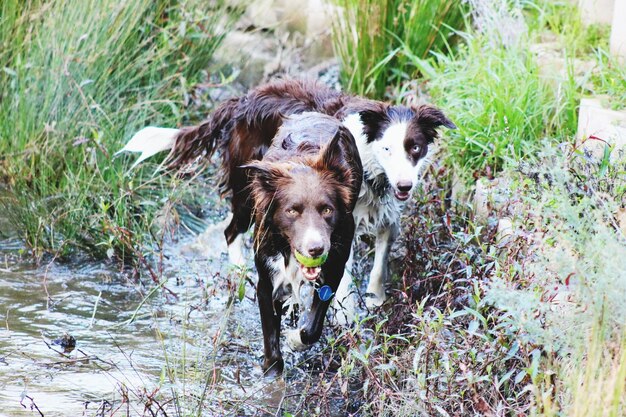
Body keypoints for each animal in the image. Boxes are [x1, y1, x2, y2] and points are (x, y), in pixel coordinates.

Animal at [117, 79, 454, 322]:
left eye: (414, 148)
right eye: (387, 149)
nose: (405, 185)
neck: (372, 170)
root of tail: (242, 101)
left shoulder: (385, 214)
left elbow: (380, 262)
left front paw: (375, 299)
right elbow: (342, 276)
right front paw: (346, 315)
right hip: (249, 187)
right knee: (231, 230)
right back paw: (240, 274)